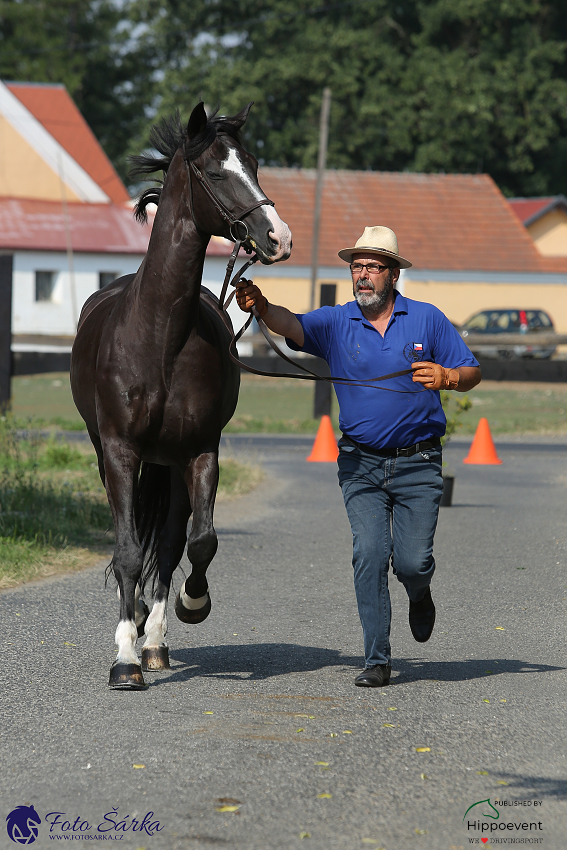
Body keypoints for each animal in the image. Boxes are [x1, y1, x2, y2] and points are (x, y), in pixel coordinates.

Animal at [70, 102, 290, 688]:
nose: (278, 237)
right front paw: (124, 661)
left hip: (168, 463)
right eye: (215, 172)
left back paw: (155, 641)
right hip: (111, 454)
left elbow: (199, 541)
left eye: (254, 164)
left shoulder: (200, 450)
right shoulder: (120, 452)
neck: (161, 336)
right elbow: (126, 550)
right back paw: (135, 631)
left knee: (169, 545)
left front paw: (191, 607)